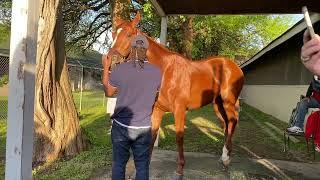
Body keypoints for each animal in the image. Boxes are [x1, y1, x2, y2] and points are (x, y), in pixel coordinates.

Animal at [106, 12, 244, 177]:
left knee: (232, 122)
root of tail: (235, 66)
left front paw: (180, 168)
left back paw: (226, 158)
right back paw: (224, 156)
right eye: (113, 34)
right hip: (218, 104)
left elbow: (179, 137)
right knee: (226, 125)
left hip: (228, 102)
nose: (111, 61)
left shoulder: (179, 110)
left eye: (129, 35)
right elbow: (153, 135)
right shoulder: (157, 110)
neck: (165, 71)